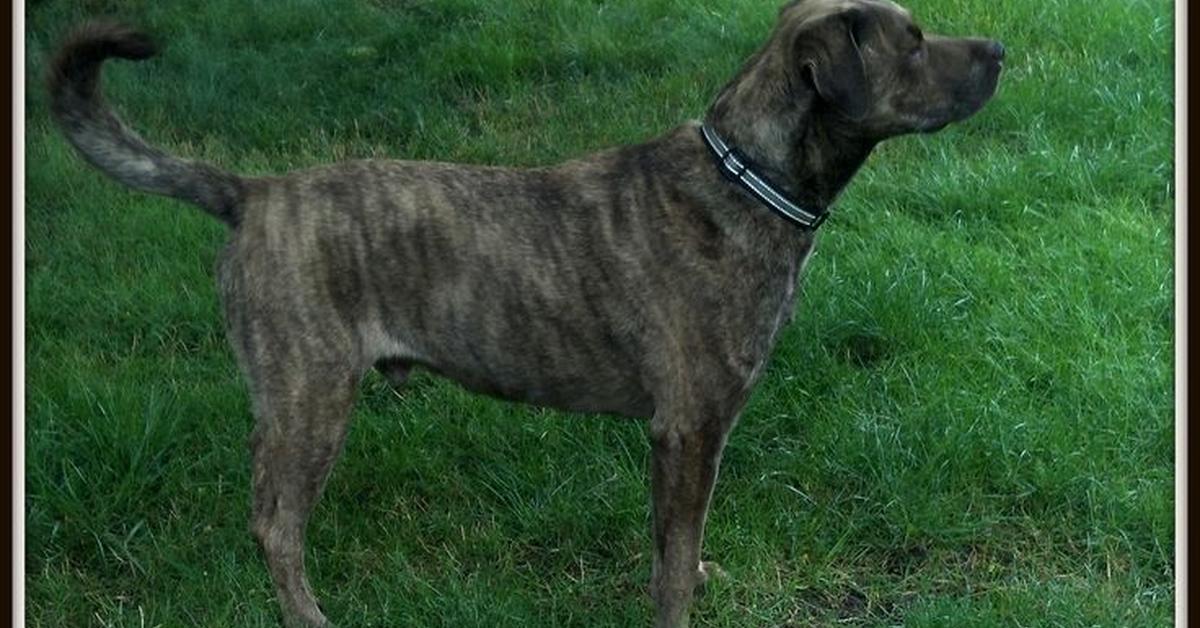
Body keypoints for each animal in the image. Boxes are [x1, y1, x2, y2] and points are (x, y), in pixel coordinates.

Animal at [49, 1, 1003, 628]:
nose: (998, 46)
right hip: (310, 399)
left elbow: (680, 542)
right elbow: (671, 565)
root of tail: (251, 194)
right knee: (276, 527)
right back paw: (308, 616)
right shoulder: (688, 426)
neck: (746, 178)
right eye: (914, 42)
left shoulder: (695, 438)